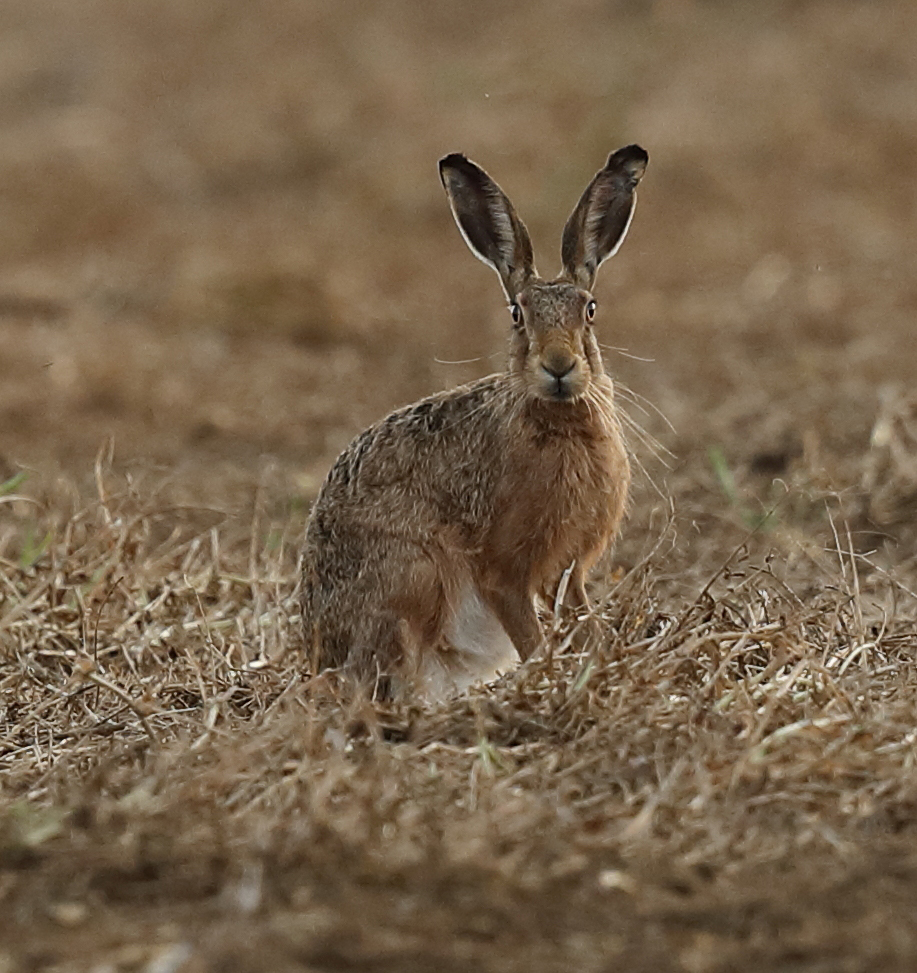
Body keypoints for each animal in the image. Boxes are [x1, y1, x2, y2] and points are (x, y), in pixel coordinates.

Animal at [301, 144, 648, 698]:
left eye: (590, 310)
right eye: (516, 315)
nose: (559, 366)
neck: (557, 419)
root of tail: (319, 652)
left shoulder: (569, 571)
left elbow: (582, 620)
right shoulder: (503, 574)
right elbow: (533, 639)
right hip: (413, 581)